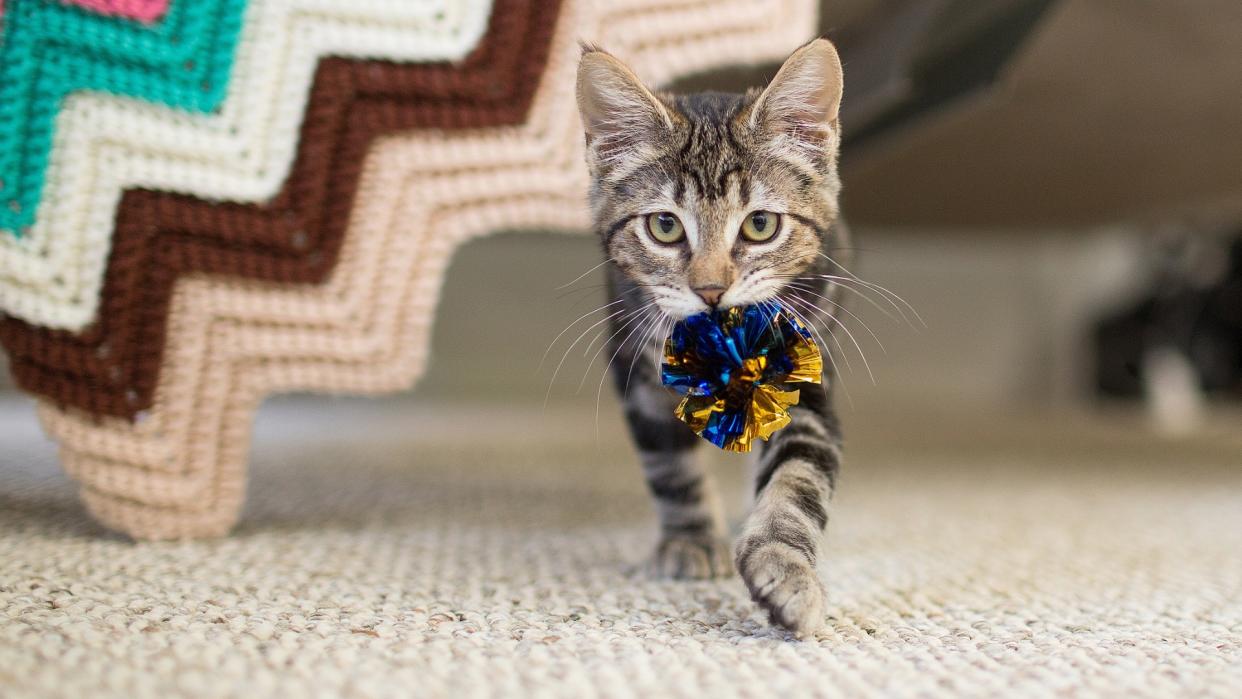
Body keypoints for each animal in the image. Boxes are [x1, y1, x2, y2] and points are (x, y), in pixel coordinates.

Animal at [576, 40, 849, 635]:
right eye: (665, 226)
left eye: (761, 225)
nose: (710, 290)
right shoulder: (637, 370)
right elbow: (670, 465)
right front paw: (691, 540)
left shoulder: (804, 373)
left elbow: (797, 477)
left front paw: (786, 571)